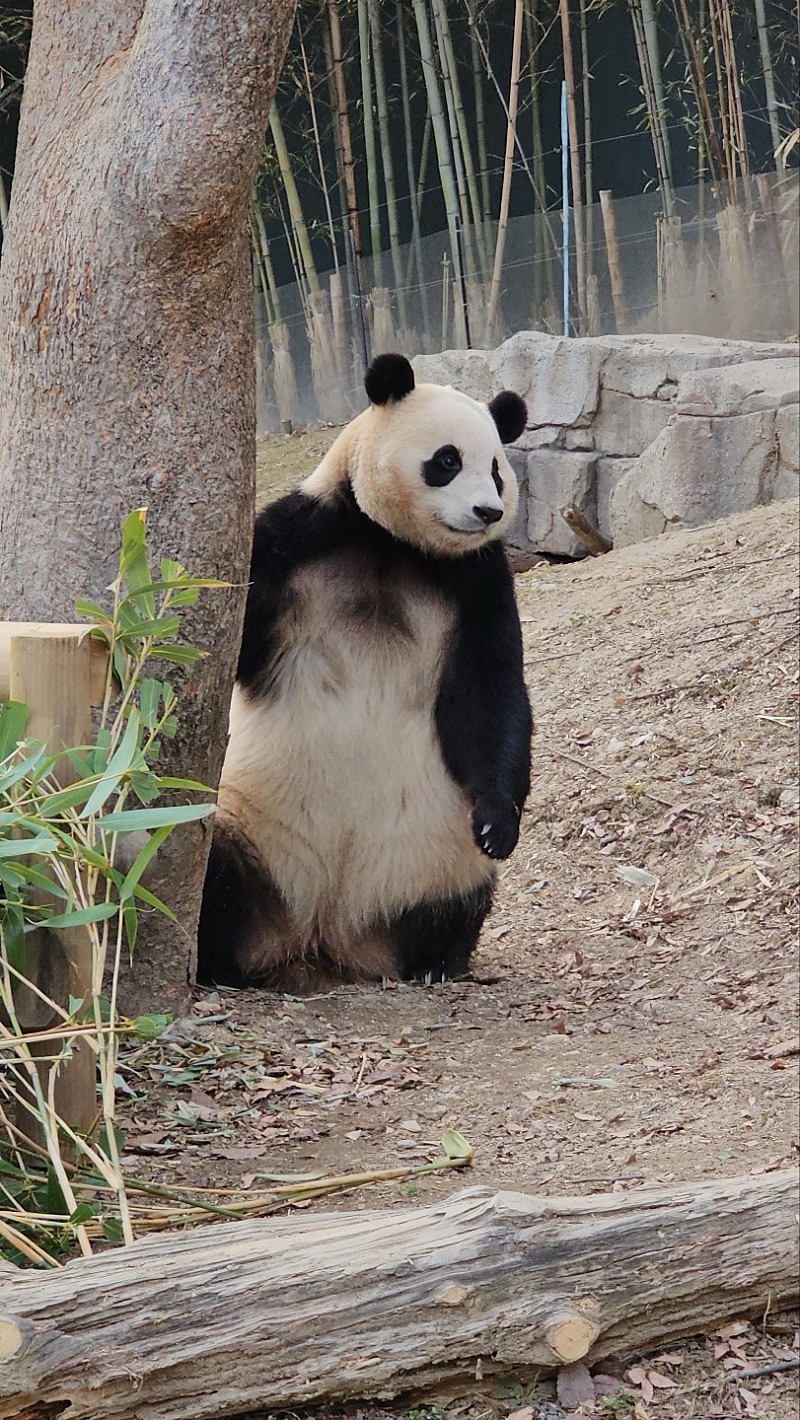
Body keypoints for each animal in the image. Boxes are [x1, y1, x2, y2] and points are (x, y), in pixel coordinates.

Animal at [196, 355, 528, 988]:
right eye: (447, 460)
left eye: (497, 471)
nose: (488, 513)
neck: (394, 546)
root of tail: (323, 934)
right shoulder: (300, 537)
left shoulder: (477, 581)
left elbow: (490, 694)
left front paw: (499, 824)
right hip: (249, 824)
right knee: (215, 873)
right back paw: (221, 962)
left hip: (435, 853)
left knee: (458, 900)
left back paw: (434, 963)